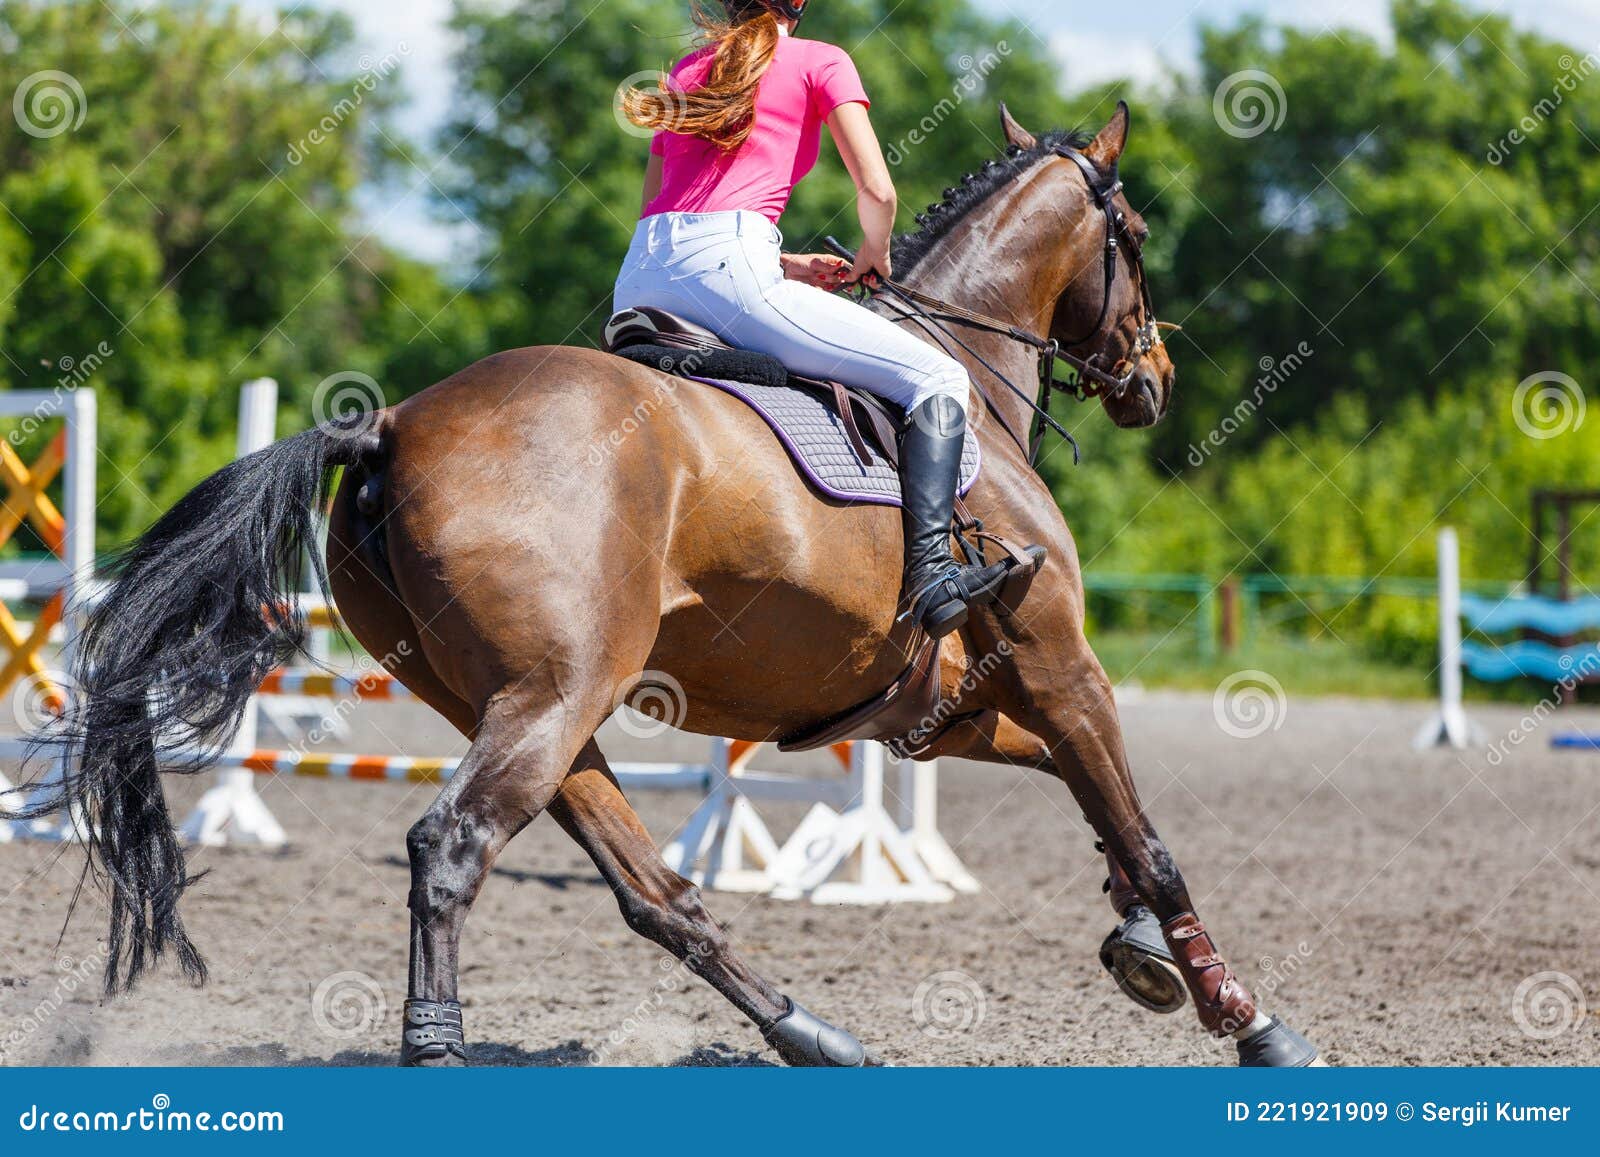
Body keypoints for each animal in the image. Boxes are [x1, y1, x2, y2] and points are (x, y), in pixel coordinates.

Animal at [25, 102, 1324, 1068]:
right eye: (1136, 230)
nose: (1151, 379)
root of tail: (390, 423)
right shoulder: (1059, 662)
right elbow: (1144, 832)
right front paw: (1244, 1015)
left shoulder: (947, 707)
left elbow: (1099, 806)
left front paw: (1143, 948)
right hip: (552, 699)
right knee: (451, 847)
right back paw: (442, 1046)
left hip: (541, 710)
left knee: (652, 890)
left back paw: (813, 1031)